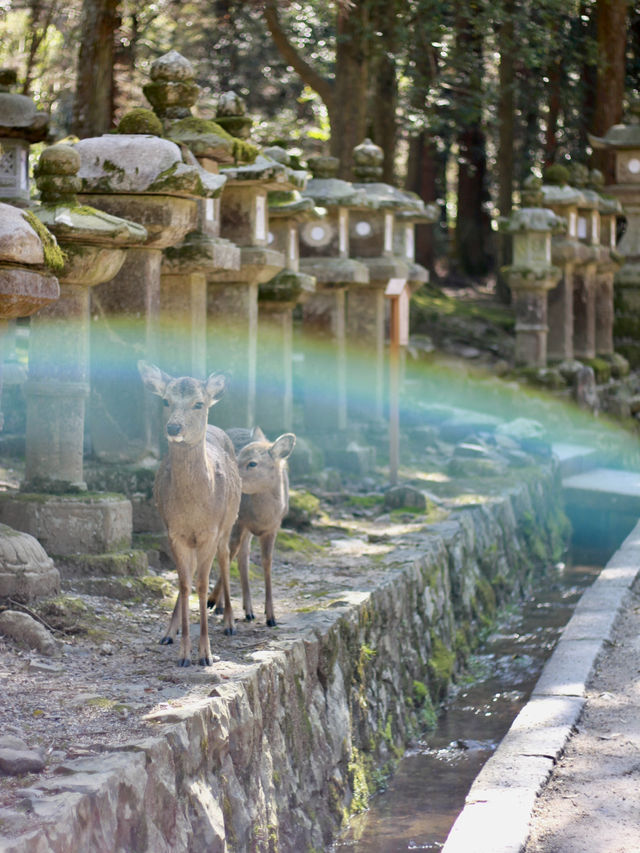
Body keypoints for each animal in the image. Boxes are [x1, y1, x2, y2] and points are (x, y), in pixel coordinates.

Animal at [139, 360, 241, 664]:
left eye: (198, 403)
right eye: (165, 400)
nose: (173, 427)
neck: (194, 509)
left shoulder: (210, 530)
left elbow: (202, 583)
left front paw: (205, 654)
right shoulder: (175, 531)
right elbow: (184, 584)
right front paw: (184, 652)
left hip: (229, 521)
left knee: (225, 558)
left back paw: (230, 621)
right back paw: (168, 633)